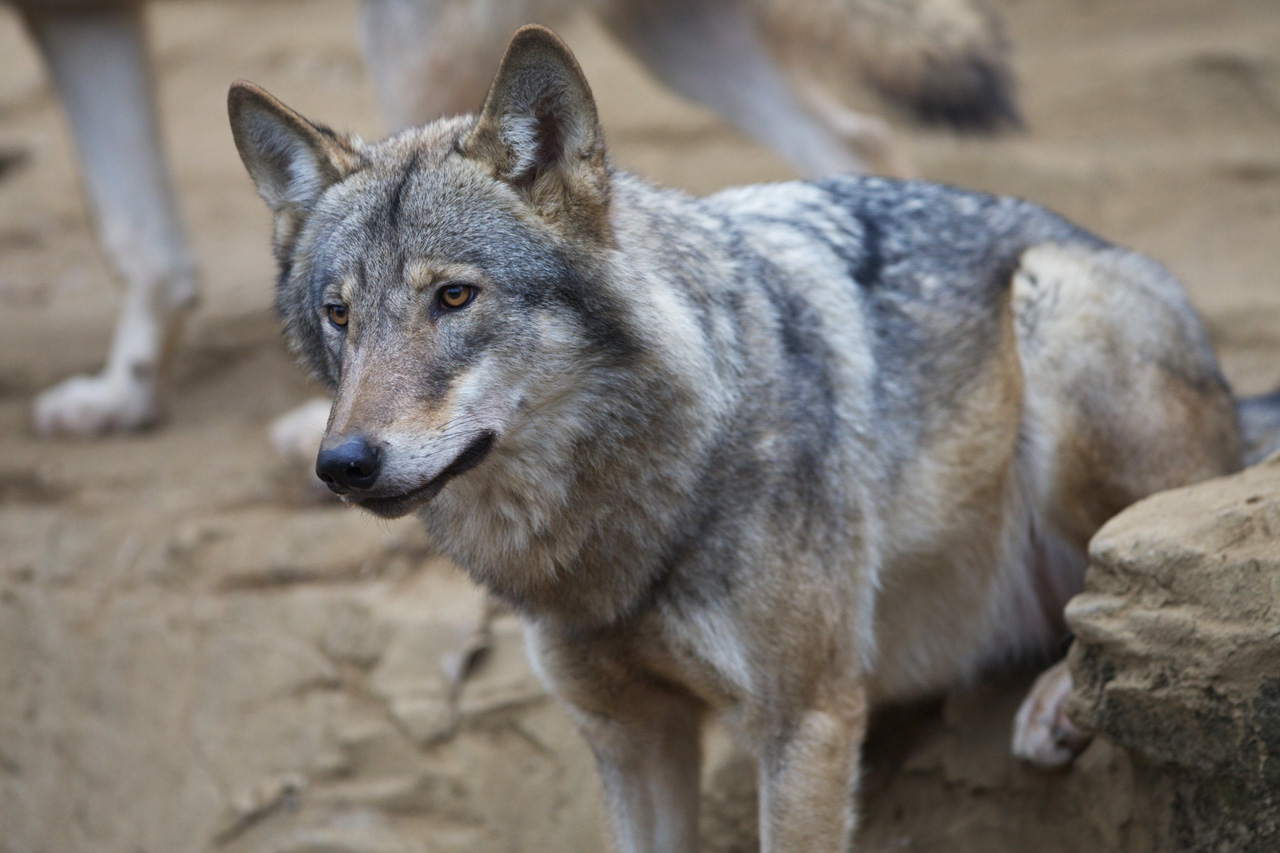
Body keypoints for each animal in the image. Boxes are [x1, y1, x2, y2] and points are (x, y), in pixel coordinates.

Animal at [5, 0, 1013, 435]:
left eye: (454, 298)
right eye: (334, 313)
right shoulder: (79, 14)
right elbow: (137, 237)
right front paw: (124, 392)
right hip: (670, 35)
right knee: (861, 139)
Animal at [227, 24, 1269, 850]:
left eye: (453, 296)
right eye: (339, 316)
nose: (342, 464)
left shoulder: (805, 721)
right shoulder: (630, 737)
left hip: (1054, 310)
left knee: (1140, 545)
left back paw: (1062, 695)